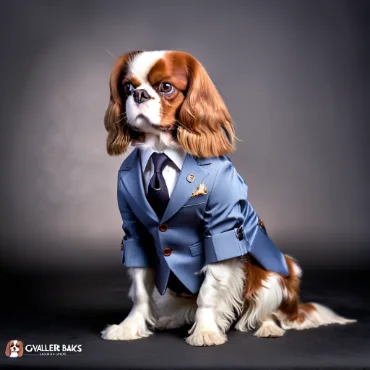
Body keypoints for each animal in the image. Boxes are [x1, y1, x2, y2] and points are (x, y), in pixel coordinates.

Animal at [101, 50, 356, 346]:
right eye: (128, 87)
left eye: (166, 87)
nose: (140, 94)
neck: (160, 150)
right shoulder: (136, 233)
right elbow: (141, 290)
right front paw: (130, 327)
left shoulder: (220, 230)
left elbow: (208, 291)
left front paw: (205, 331)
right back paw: (171, 319)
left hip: (277, 275)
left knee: (263, 312)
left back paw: (268, 328)